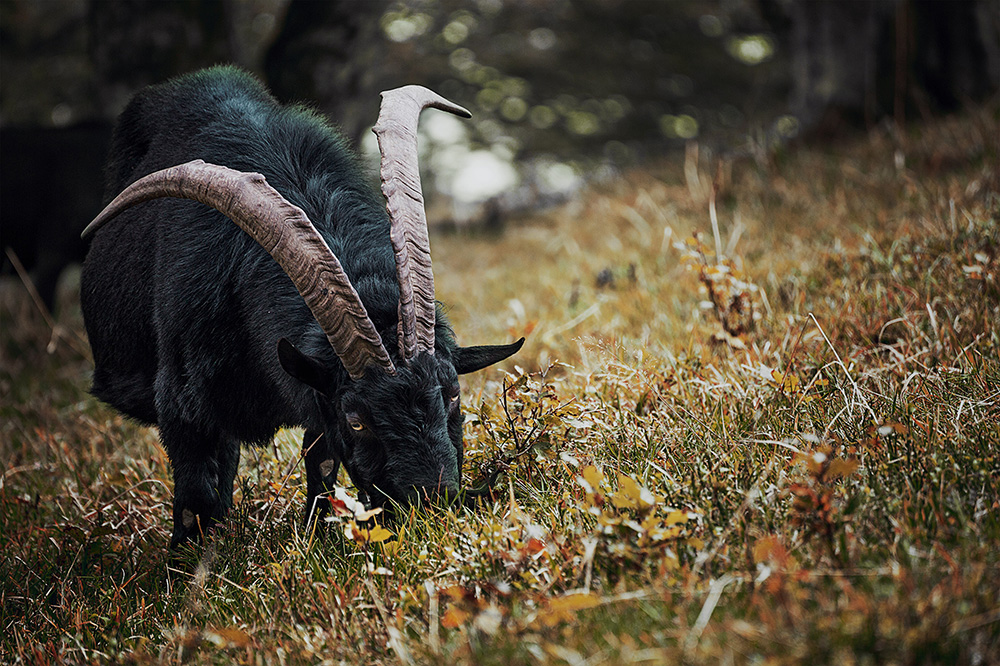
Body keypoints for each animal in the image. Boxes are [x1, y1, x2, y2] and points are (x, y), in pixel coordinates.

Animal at [80, 66, 523, 547]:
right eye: (356, 419)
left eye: (454, 394)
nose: (429, 506)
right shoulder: (182, 406)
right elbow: (193, 499)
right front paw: (184, 564)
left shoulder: (316, 398)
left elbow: (320, 467)